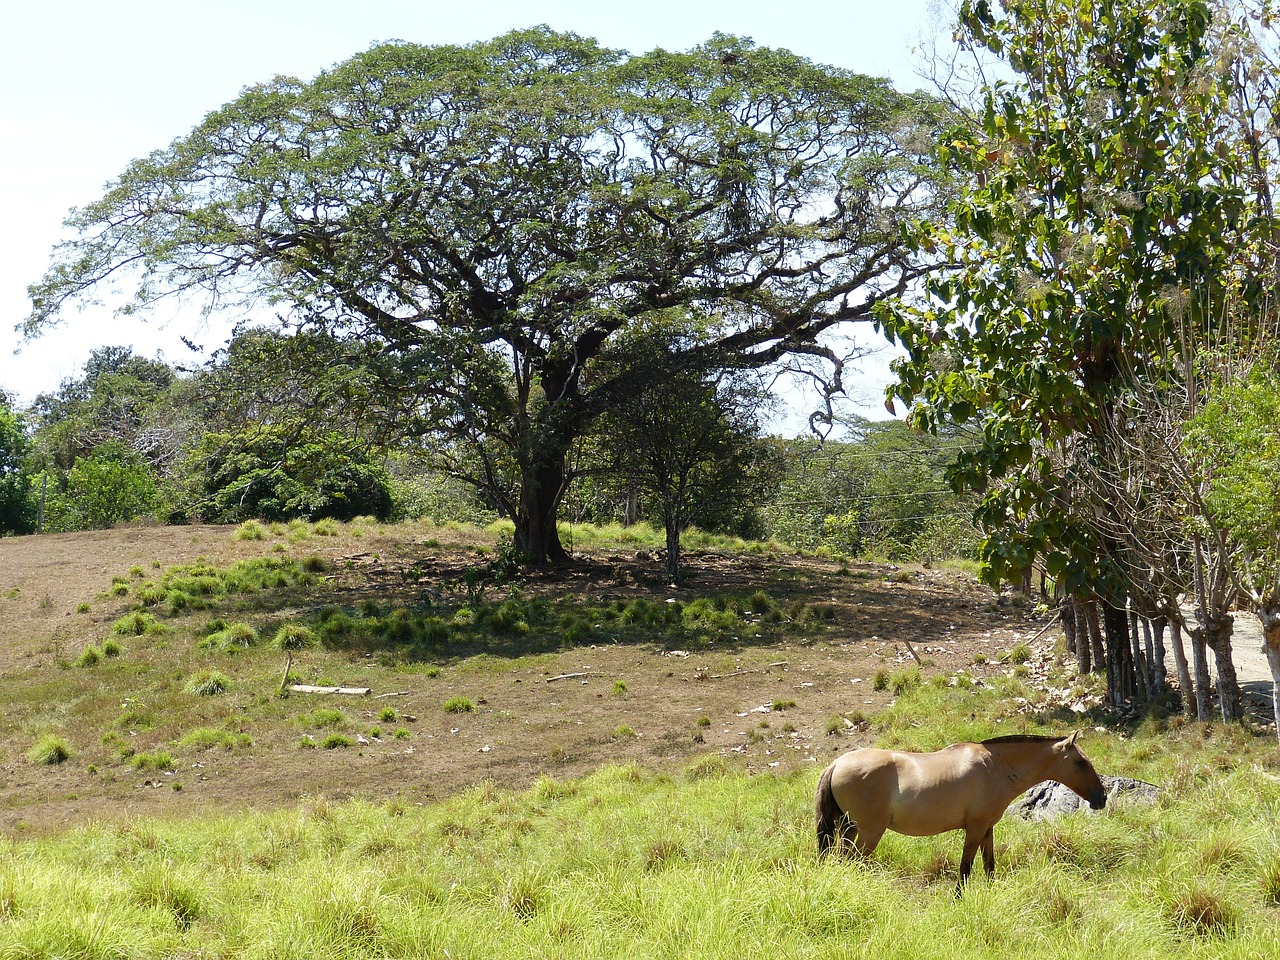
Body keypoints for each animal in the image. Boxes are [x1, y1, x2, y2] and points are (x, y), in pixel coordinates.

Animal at [819, 737, 1100, 885]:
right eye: (1080, 762)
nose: (1101, 797)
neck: (994, 768)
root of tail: (837, 763)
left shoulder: (987, 828)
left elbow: (989, 865)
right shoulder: (975, 828)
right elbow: (965, 868)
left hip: (850, 830)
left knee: (842, 859)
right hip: (869, 833)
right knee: (854, 862)